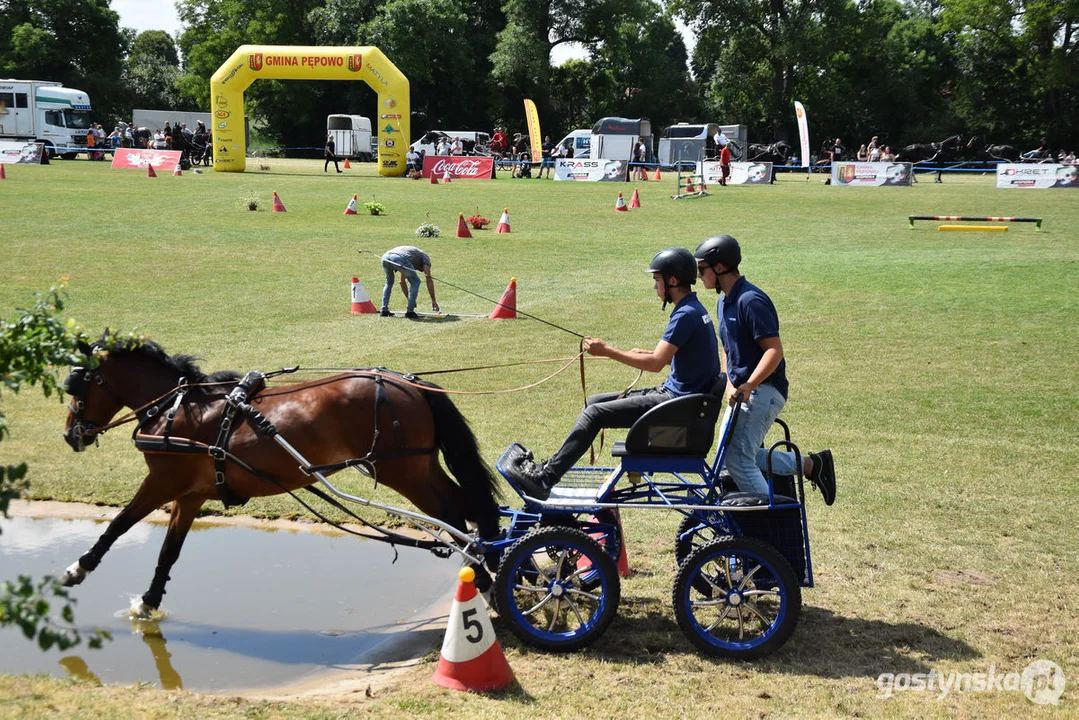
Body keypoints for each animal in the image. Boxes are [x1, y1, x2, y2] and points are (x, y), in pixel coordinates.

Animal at [56, 338, 498, 613]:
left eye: (77, 385)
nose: (70, 434)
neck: (178, 409)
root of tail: (411, 383)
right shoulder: (190, 494)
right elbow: (169, 550)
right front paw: (149, 601)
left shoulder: (163, 482)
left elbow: (118, 523)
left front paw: (78, 569)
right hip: (420, 466)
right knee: (468, 506)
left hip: (402, 471)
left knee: (453, 516)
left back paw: (481, 573)